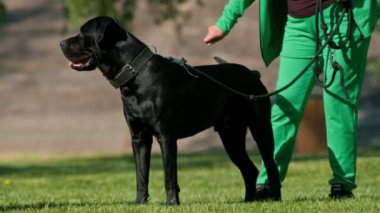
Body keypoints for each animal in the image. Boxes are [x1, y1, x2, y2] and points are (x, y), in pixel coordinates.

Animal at [58, 16, 280, 205]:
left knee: (271, 164)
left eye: (82, 33)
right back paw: (248, 201)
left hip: (260, 128)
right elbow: (141, 174)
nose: (60, 44)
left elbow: (169, 174)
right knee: (249, 169)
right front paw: (140, 203)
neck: (136, 74)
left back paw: (276, 198)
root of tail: (253, 73)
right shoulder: (139, 137)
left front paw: (172, 203)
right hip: (231, 136)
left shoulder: (165, 136)